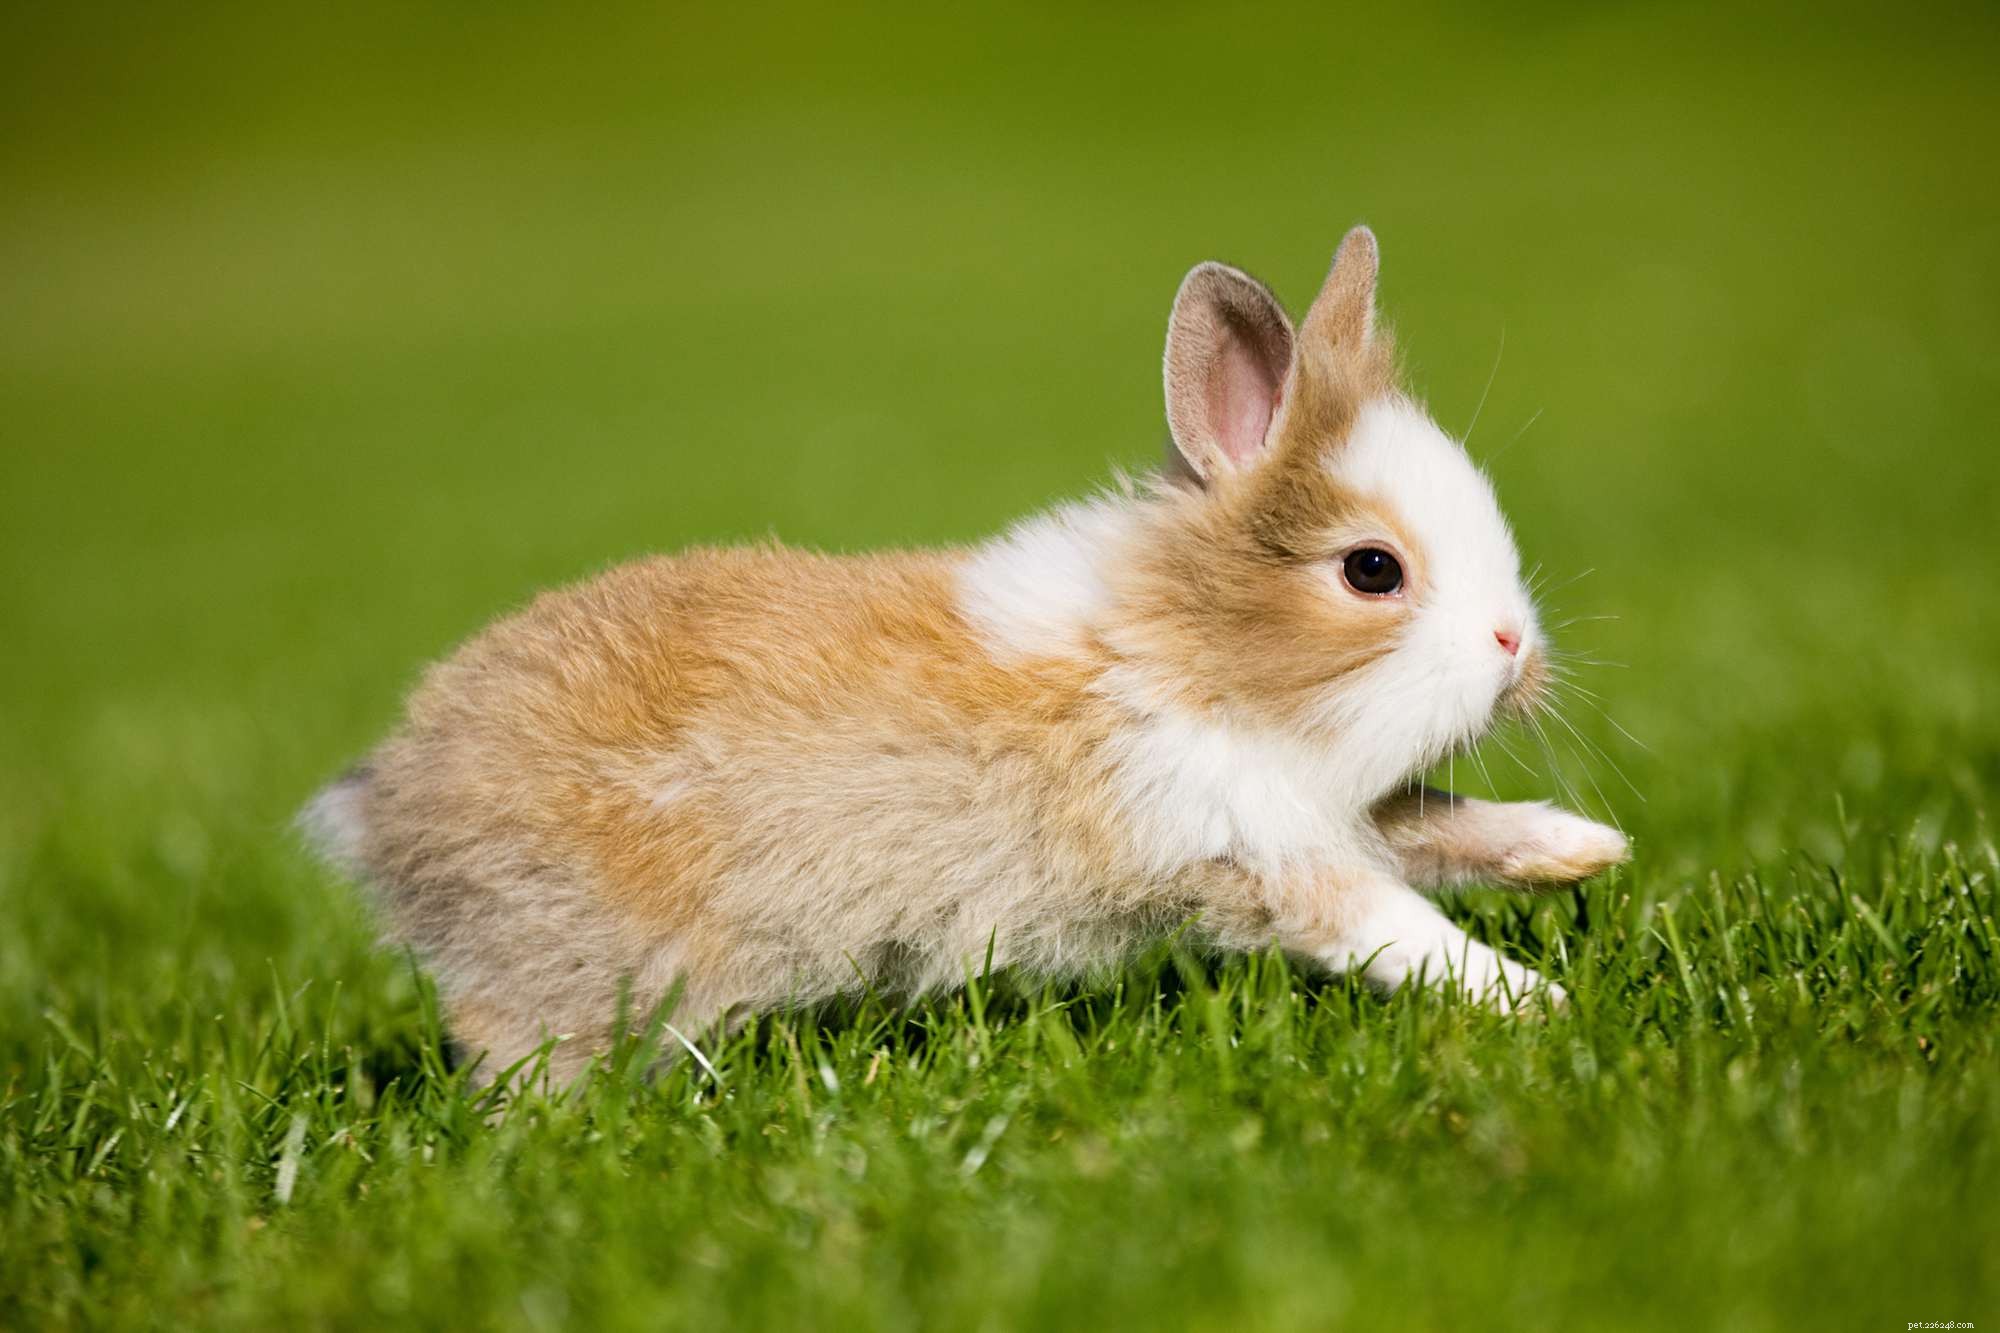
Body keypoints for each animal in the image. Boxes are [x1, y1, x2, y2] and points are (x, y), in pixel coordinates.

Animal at [302, 226, 1630, 1082]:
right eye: (1370, 571)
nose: (1516, 650)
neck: (1179, 646)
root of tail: (386, 802)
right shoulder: (1255, 845)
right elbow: (1389, 923)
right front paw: (1541, 1003)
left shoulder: (1323, 807)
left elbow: (1434, 822)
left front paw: (1578, 849)